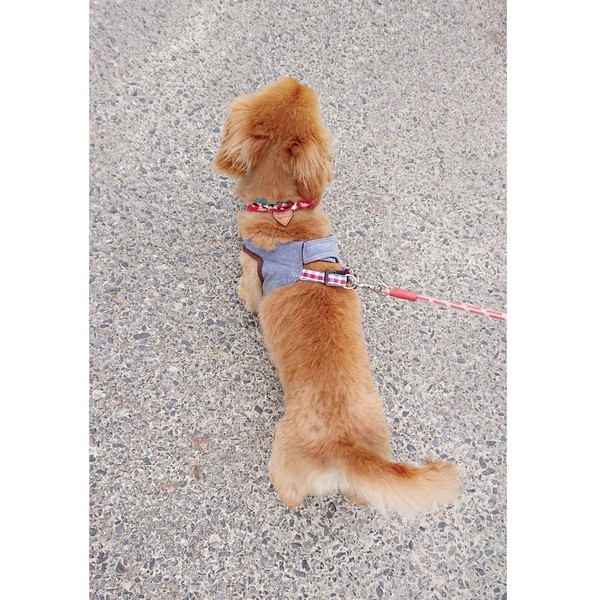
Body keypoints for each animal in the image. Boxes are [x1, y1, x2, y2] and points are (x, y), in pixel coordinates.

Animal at [215, 77, 462, 516]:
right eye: (283, 89)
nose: (297, 80)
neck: (286, 215)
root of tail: (347, 448)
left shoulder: (252, 276)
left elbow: (246, 293)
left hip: (283, 461)